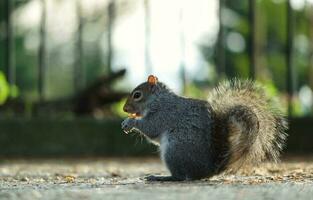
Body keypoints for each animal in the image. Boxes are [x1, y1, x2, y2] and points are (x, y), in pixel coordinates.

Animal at [120, 75, 286, 181]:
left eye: (137, 95)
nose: (124, 109)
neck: (158, 100)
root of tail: (208, 170)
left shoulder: (165, 113)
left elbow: (151, 127)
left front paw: (130, 122)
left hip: (175, 150)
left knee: (180, 177)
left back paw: (161, 177)